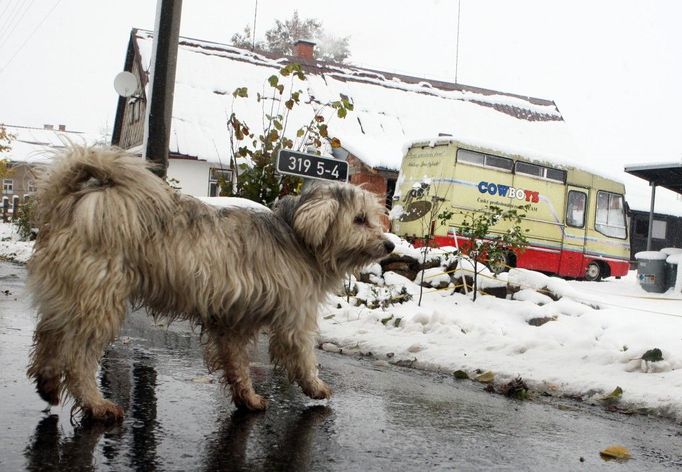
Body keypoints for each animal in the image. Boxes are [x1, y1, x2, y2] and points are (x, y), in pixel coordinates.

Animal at [26, 147, 394, 420]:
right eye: (359, 219)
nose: (390, 245)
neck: (298, 236)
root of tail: (71, 202)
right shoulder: (295, 316)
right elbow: (302, 354)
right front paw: (316, 386)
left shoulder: (233, 320)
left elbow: (237, 362)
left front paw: (247, 398)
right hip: (98, 300)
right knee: (77, 358)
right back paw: (96, 404)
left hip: (67, 295)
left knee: (48, 337)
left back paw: (47, 384)